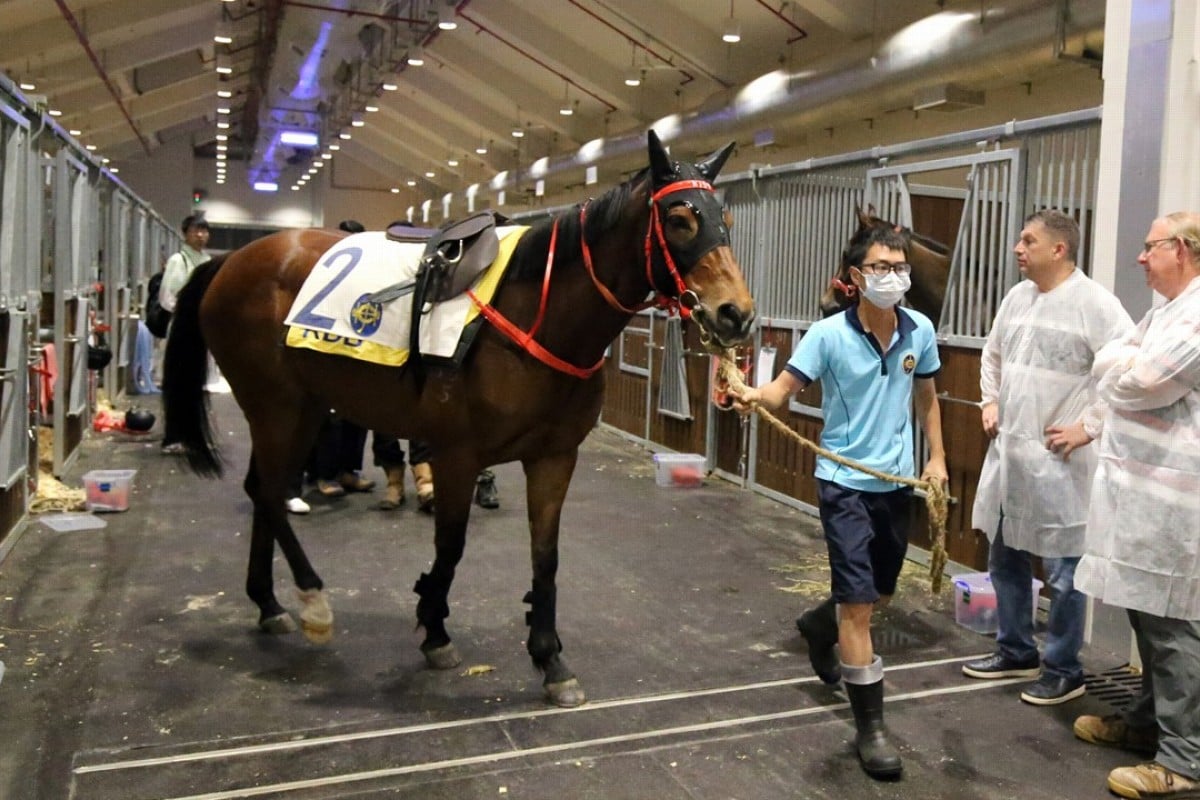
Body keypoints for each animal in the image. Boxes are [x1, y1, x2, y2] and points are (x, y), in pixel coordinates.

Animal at [163, 130, 753, 705]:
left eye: (725, 219)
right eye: (679, 219)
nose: (737, 314)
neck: (534, 316)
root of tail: (232, 261)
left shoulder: (554, 457)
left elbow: (546, 556)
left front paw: (549, 658)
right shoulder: (458, 455)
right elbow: (450, 547)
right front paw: (434, 627)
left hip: (302, 408)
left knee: (261, 489)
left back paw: (268, 603)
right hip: (276, 406)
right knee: (268, 493)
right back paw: (312, 603)